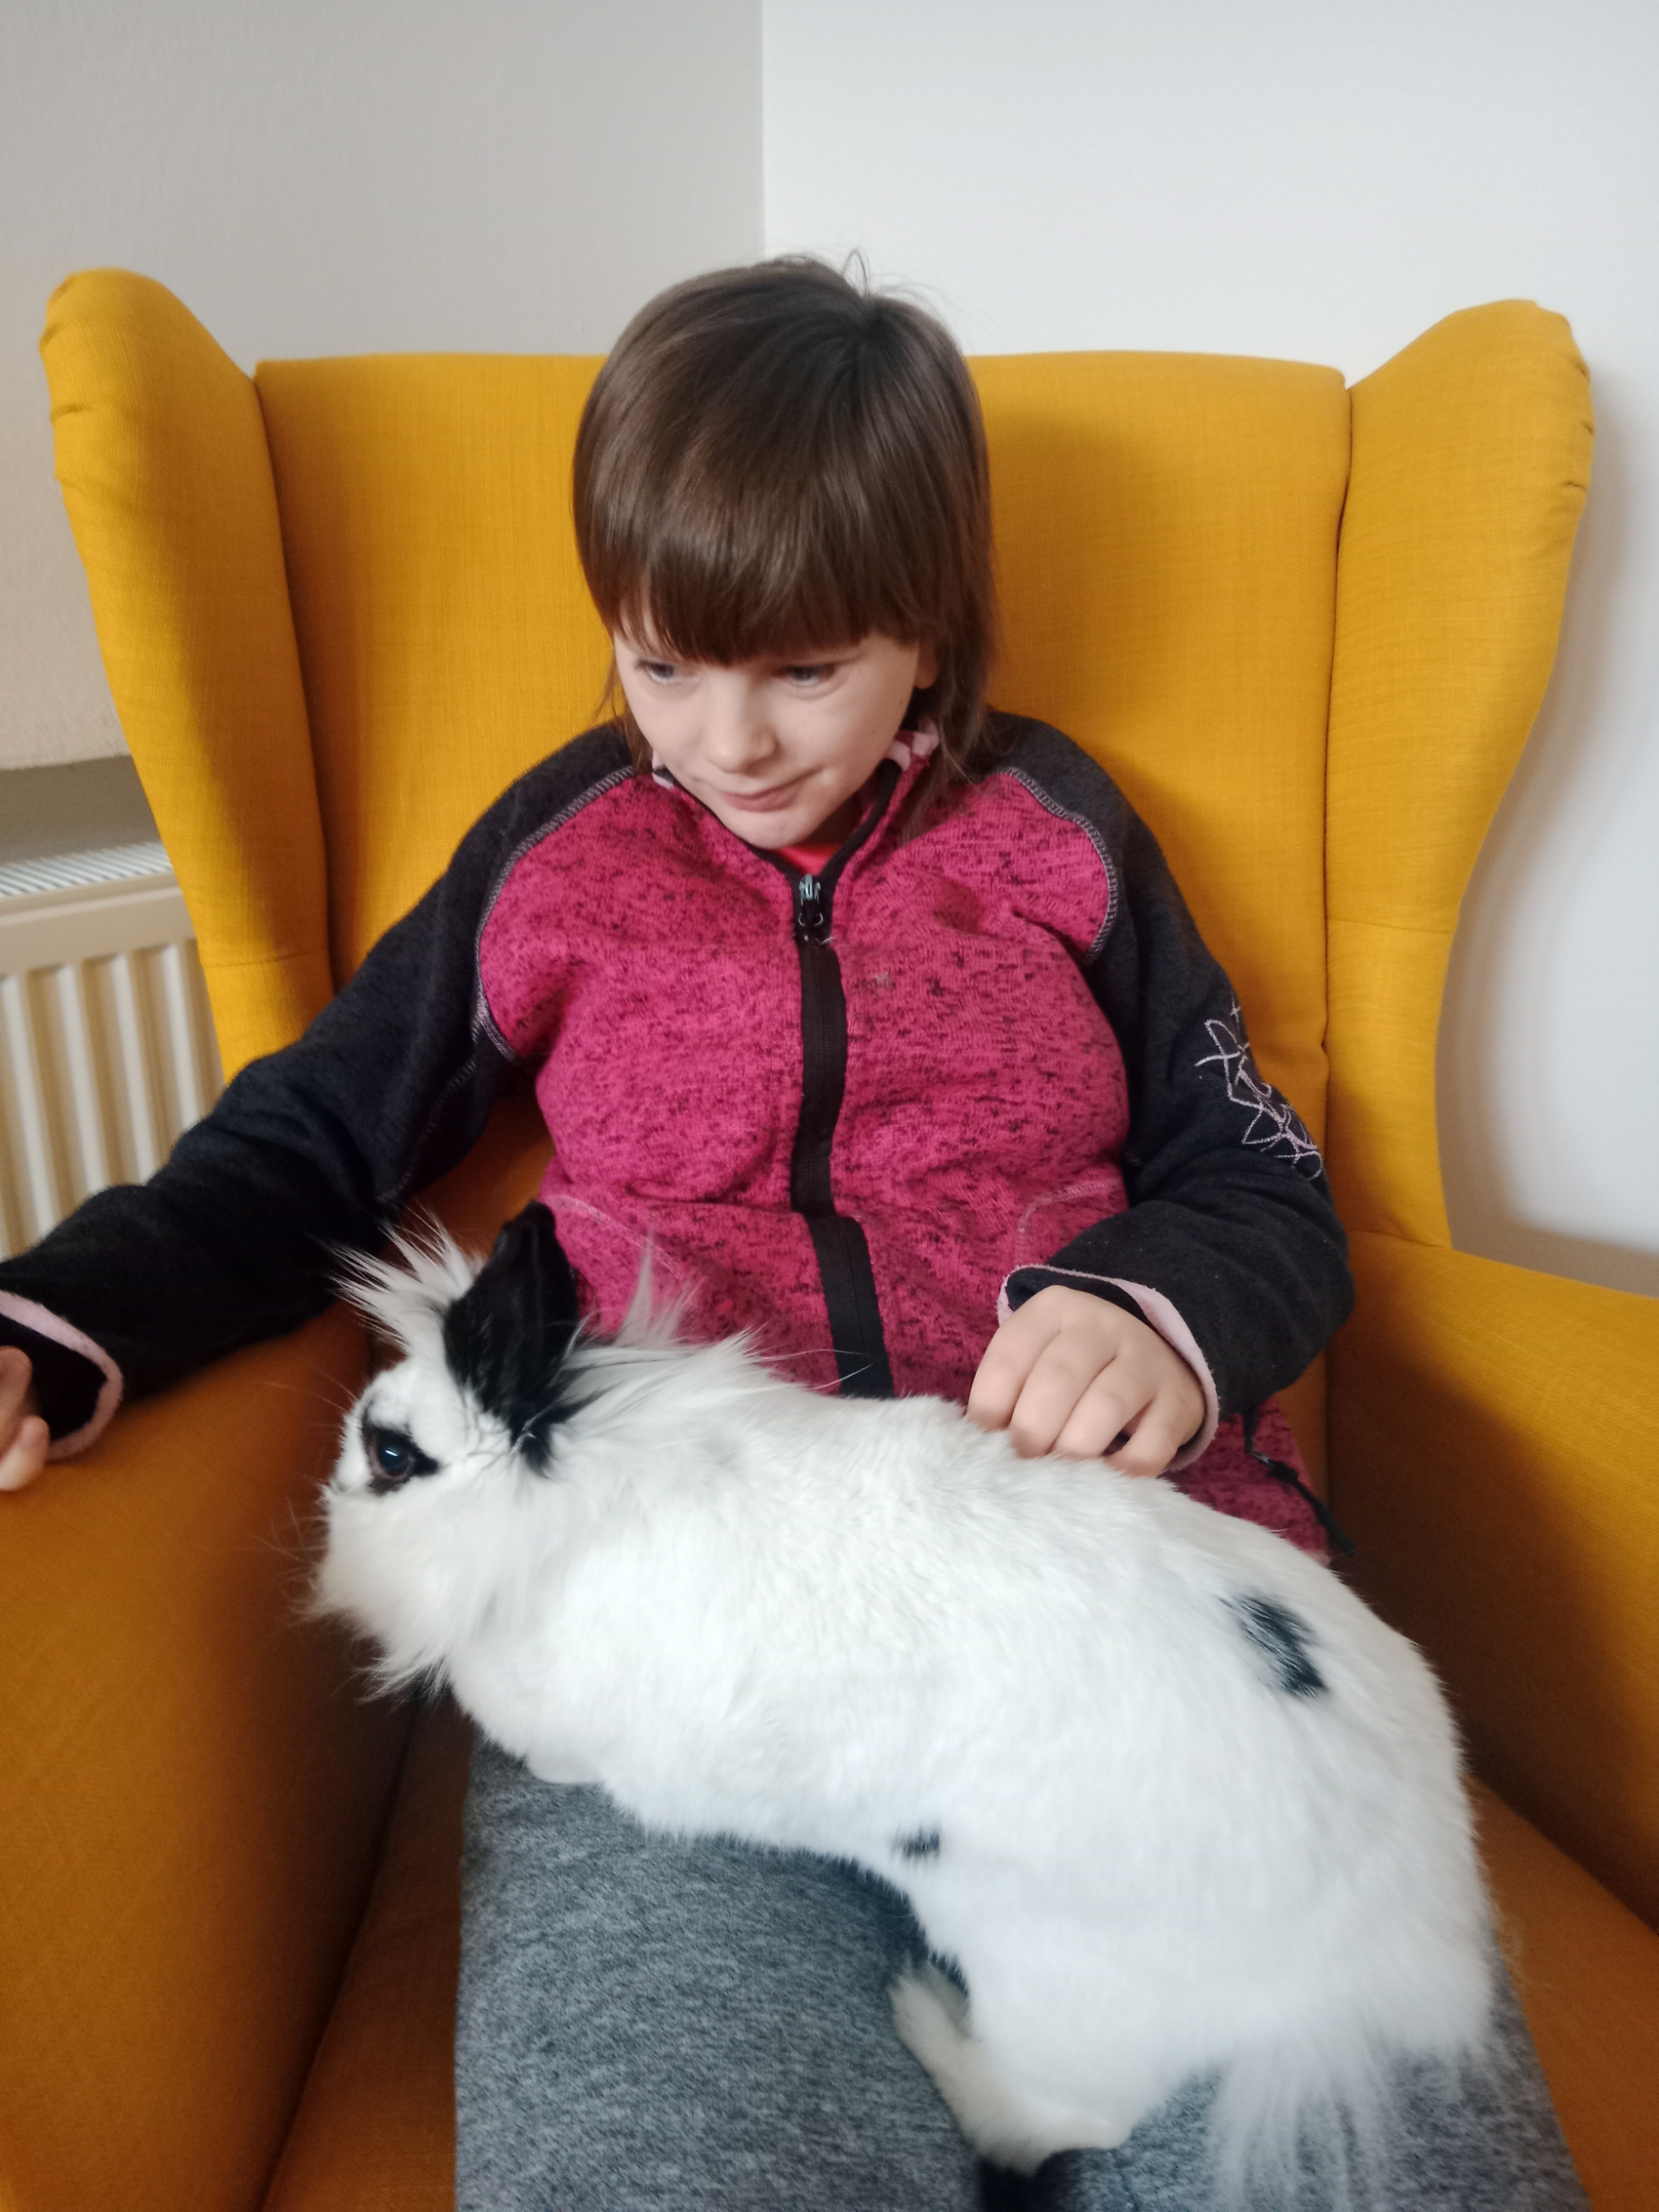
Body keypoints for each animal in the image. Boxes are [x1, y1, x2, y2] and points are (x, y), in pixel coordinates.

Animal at [314, 1202, 1494, 2201]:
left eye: (391, 1452)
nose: (330, 1502)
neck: (562, 1499)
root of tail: (1398, 1945)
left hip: (1054, 1983)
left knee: (1058, 2116)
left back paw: (928, 2016)